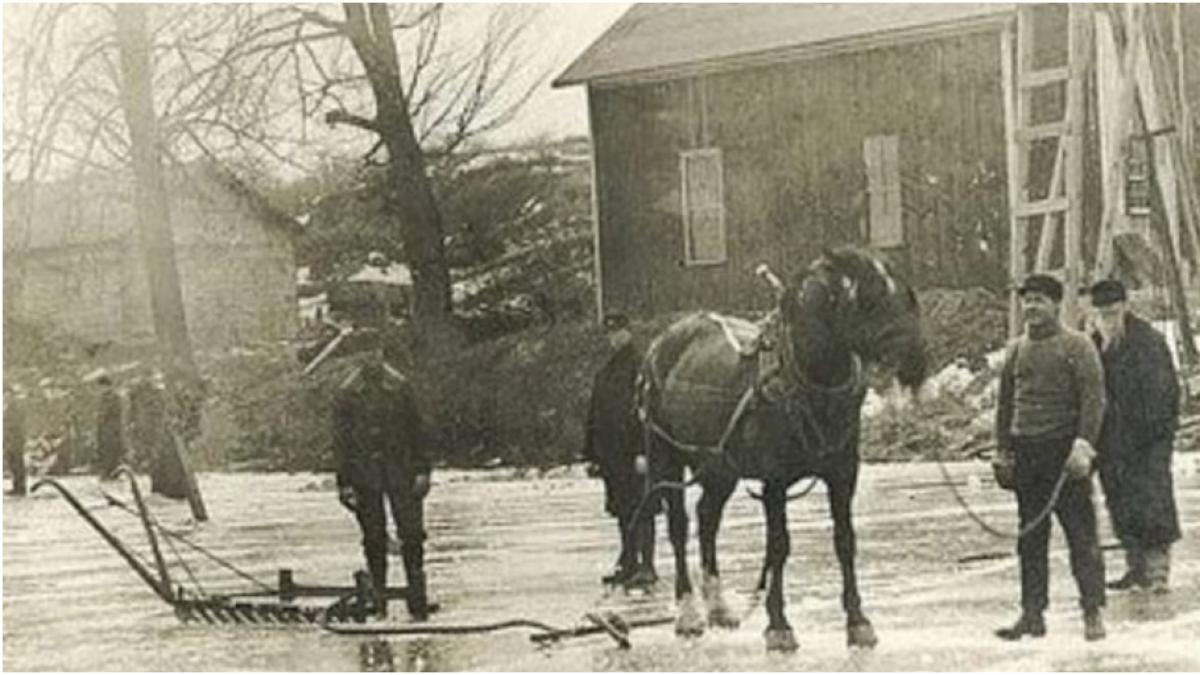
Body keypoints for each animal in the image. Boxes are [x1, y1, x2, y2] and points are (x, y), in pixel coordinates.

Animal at [638, 243, 926, 648]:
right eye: (867, 299)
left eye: (905, 293)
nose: (917, 358)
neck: (806, 381)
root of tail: (663, 341)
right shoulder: (774, 481)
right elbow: (778, 545)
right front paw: (778, 624)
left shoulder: (843, 474)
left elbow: (844, 541)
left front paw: (857, 621)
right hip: (665, 454)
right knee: (679, 526)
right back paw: (689, 613)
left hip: (719, 468)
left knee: (708, 517)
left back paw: (719, 607)